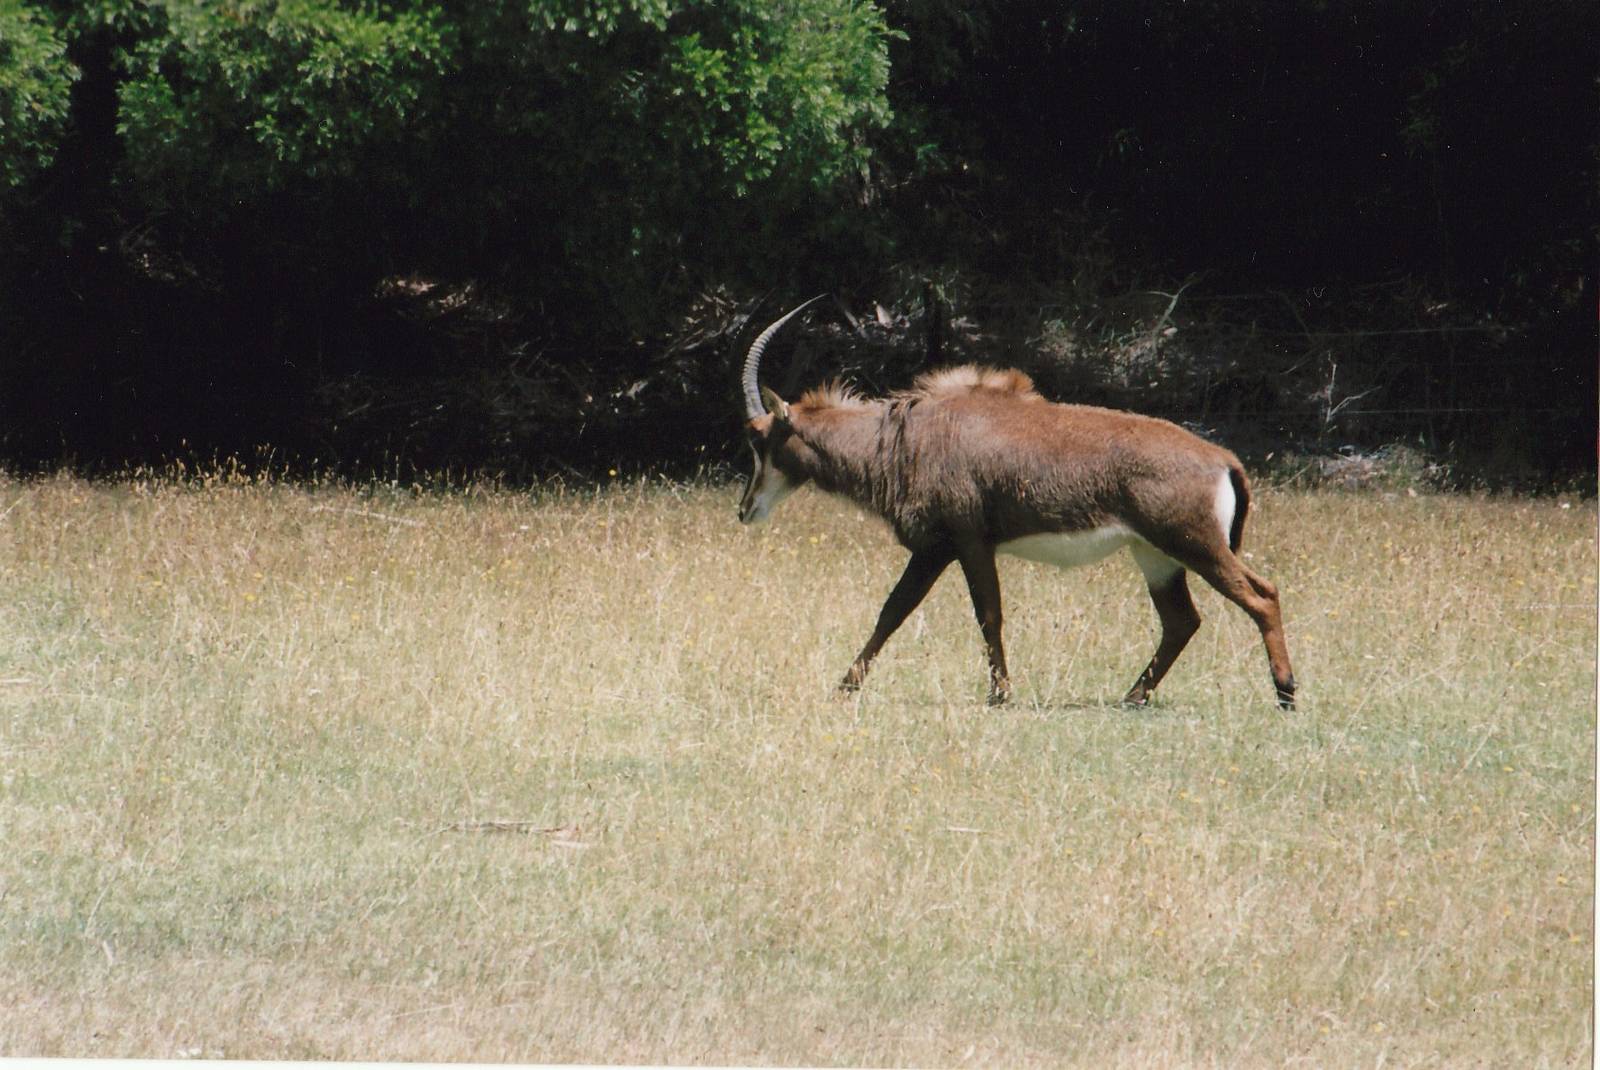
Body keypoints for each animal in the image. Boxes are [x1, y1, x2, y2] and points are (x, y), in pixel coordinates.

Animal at [736, 296, 1297, 709]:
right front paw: (845, 686)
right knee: (1181, 620)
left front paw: (999, 694)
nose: (745, 509)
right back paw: (1132, 696)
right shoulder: (938, 549)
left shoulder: (965, 541)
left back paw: (1286, 694)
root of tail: (1223, 460)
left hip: (1195, 545)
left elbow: (985, 613)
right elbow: (893, 611)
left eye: (759, 438)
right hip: (1156, 556)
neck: (901, 436)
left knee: (1261, 595)